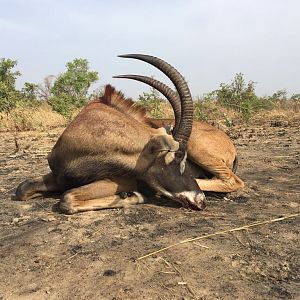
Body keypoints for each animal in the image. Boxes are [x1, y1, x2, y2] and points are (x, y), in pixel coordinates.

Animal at [14, 54, 206, 213]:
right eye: (178, 156)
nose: (201, 200)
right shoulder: (58, 176)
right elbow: (22, 189)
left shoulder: (123, 180)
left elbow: (67, 198)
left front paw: (134, 195)